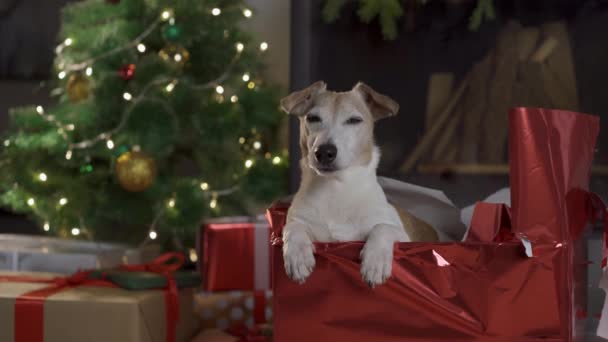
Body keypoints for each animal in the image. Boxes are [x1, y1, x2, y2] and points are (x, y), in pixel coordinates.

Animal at [280, 81, 436, 288]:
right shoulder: (299, 221)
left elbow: (382, 227)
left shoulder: (404, 237)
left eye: (354, 120)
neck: (336, 190)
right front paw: (297, 254)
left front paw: (375, 262)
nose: (324, 152)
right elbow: (292, 228)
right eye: (312, 118)